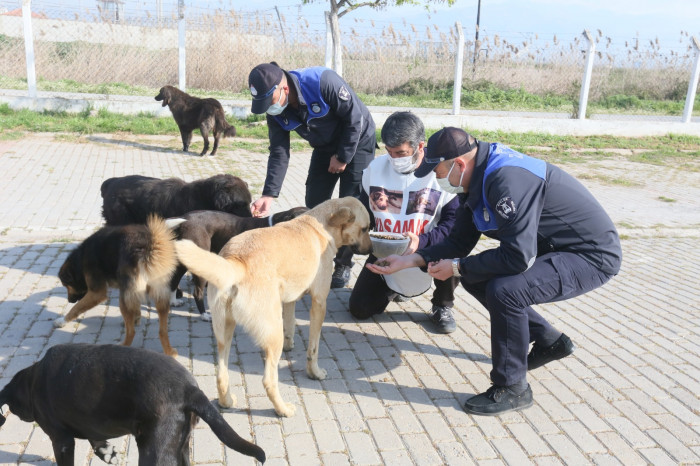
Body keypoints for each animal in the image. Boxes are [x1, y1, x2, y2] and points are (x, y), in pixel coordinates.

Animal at [0, 342, 266, 466]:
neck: (33, 381)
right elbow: (96, 439)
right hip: (179, 446)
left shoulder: (61, 439)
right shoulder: (91, 423)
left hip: (154, 451)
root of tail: (191, 390)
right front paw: (107, 453)